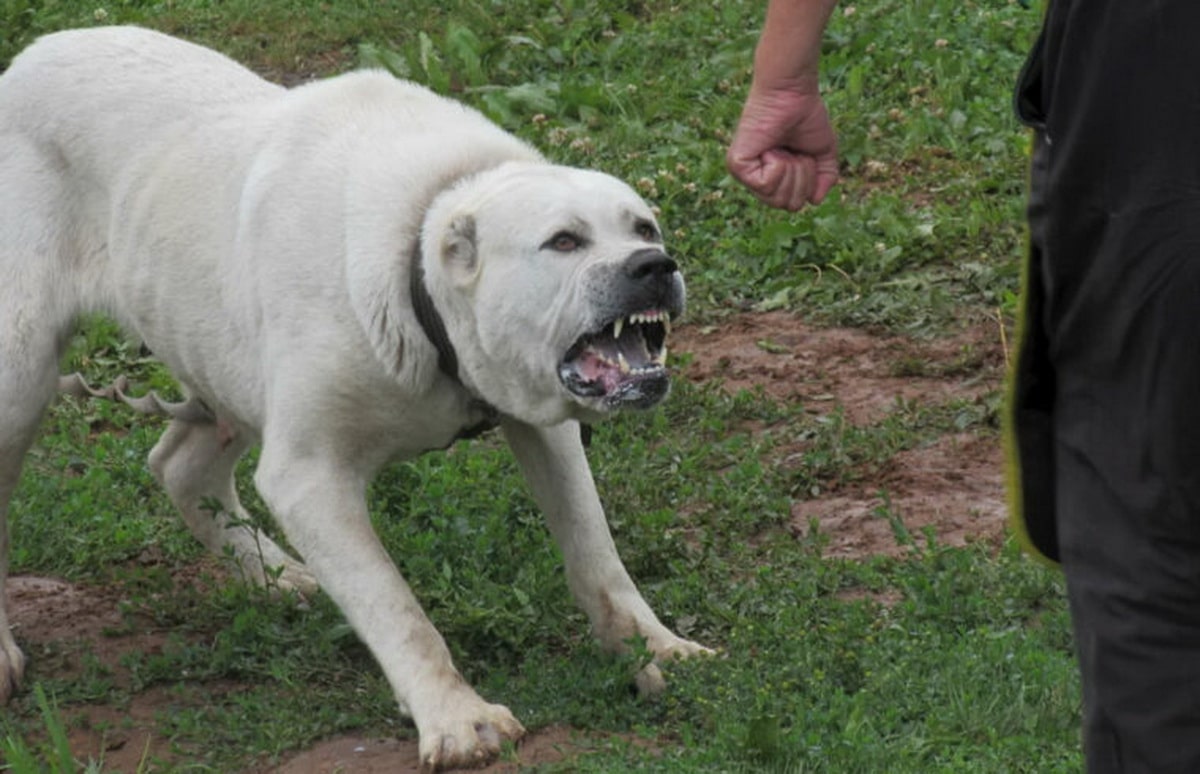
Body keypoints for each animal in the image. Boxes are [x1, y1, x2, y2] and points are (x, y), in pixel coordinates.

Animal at [0, 27, 705, 768]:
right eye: (563, 241)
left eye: (644, 228)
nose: (655, 267)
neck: (419, 272)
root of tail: (32, 55)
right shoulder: (309, 475)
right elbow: (396, 608)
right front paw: (457, 719)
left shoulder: (546, 427)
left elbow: (596, 553)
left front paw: (657, 648)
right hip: (20, 374)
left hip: (221, 355)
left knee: (180, 465)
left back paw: (277, 576)